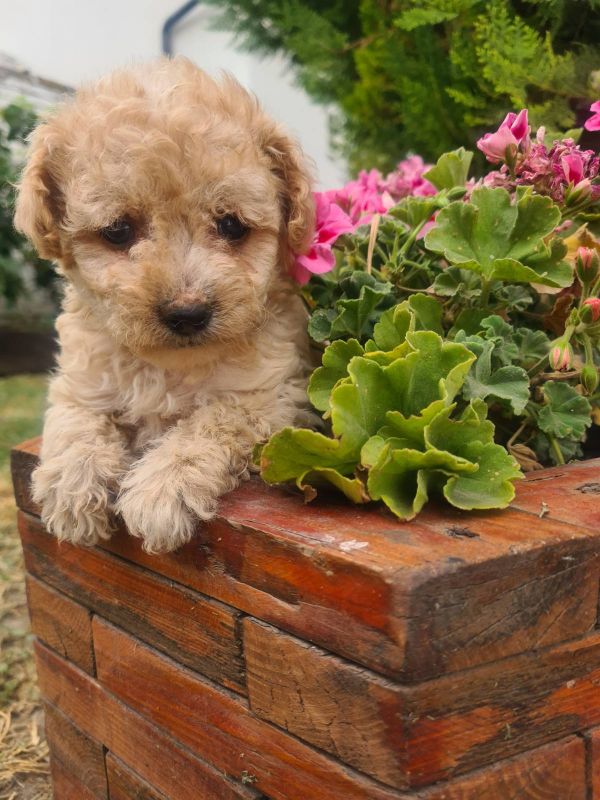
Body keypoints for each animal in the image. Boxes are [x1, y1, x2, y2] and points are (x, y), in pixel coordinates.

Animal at [14, 56, 316, 552]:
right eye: (118, 231)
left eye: (232, 226)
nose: (187, 312)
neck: (167, 367)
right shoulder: (80, 378)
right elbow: (74, 420)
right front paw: (73, 487)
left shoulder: (274, 393)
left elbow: (211, 421)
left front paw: (162, 489)